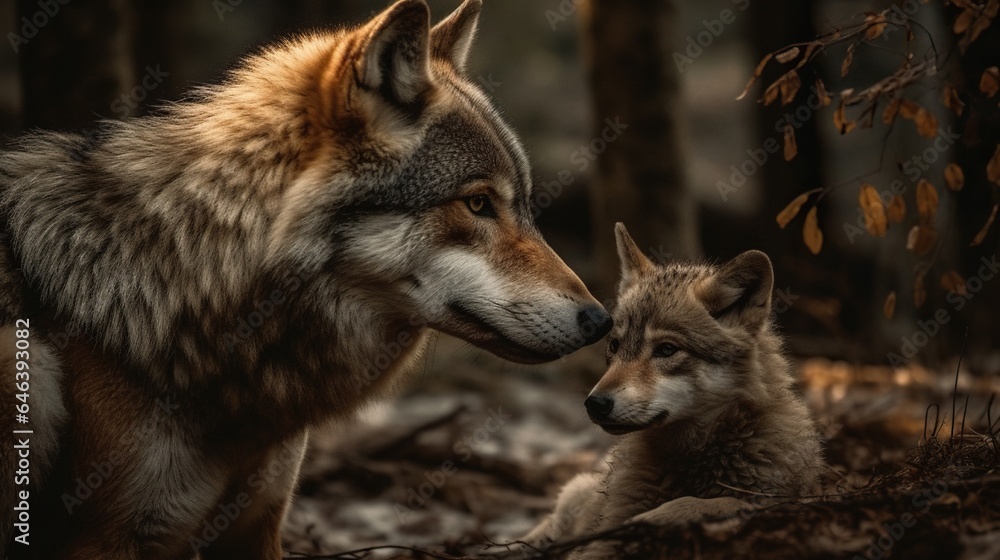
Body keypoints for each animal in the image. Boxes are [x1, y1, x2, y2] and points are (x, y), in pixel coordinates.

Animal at [0, 1, 612, 558]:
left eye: (525, 205)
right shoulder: (105, 540)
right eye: (479, 203)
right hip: (24, 364)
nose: (601, 321)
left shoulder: (256, 524)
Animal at [519, 223, 824, 558]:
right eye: (615, 346)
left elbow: (715, 503)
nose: (595, 404)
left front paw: (656, 518)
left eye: (666, 349)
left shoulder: (776, 500)